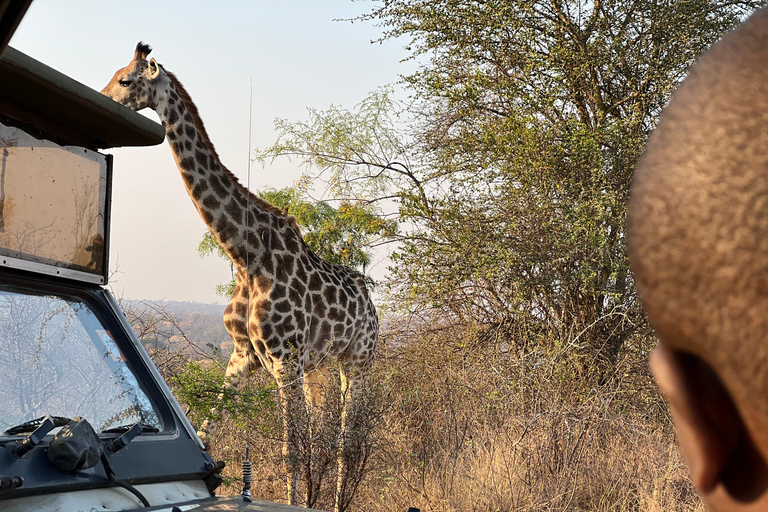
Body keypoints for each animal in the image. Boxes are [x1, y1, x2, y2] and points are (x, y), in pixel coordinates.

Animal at [101, 43, 378, 508]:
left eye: (125, 80)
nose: (104, 99)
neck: (246, 255)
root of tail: (372, 303)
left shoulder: (284, 359)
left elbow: (290, 451)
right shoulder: (243, 354)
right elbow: (208, 434)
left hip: (357, 361)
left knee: (347, 442)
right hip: (319, 368)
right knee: (324, 435)